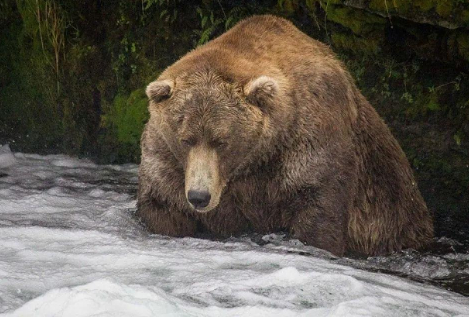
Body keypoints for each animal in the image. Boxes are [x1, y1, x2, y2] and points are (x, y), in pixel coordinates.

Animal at [137, 15, 434, 256]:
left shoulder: (309, 139)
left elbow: (319, 211)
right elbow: (162, 203)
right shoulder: (166, 158)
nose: (200, 196)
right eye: (185, 138)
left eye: (222, 140)